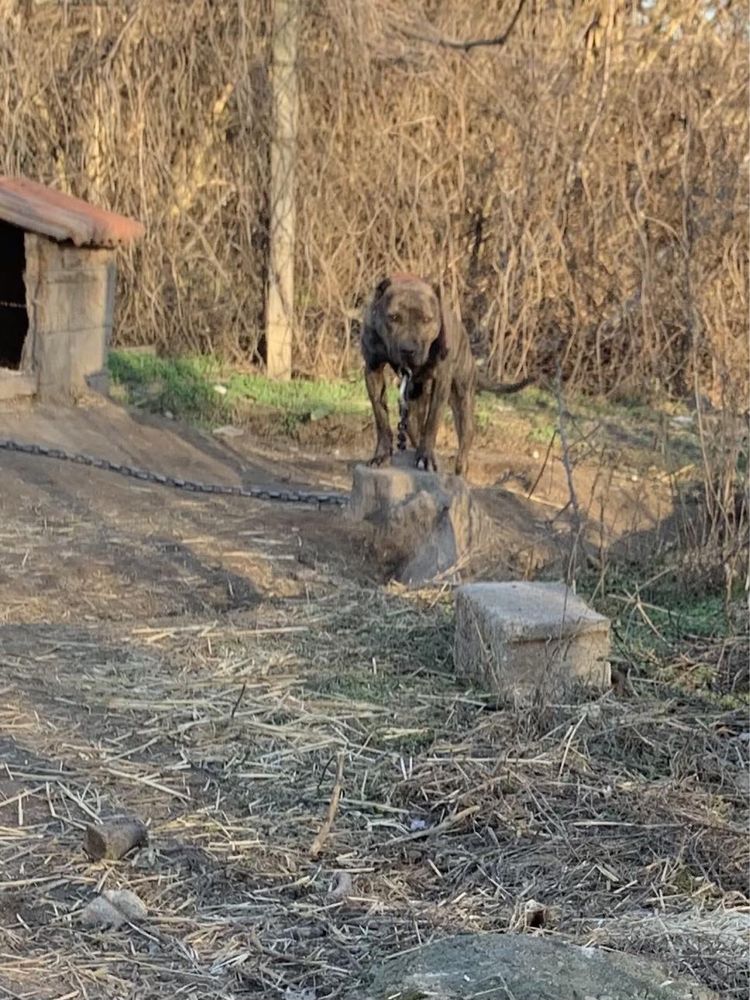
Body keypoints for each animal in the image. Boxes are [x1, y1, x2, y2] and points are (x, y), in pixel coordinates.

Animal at [362, 274, 528, 476]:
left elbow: (432, 421)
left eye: (426, 319)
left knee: (466, 434)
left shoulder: (441, 379)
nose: (408, 349)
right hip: (415, 402)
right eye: (393, 317)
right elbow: (381, 417)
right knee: (415, 426)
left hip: (462, 397)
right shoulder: (373, 369)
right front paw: (382, 455)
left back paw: (460, 468)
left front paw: (426, 457)